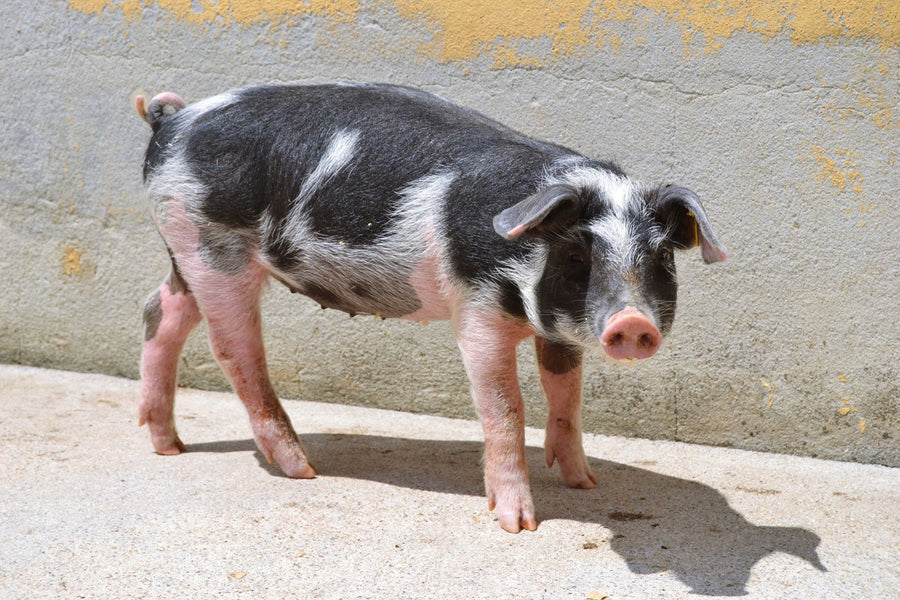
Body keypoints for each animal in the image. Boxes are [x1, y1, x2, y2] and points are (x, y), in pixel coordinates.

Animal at [135, 83, 726, 533]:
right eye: (578, 254)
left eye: (662, 258)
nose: (632, 323)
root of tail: (172, 120)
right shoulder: (477, 313)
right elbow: (505, 409)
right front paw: (519, 525)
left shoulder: (555, 327)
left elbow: (567, 390)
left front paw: (584, 481)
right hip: (212, 249)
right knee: (233, 348)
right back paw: (302, 469)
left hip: (186, 255)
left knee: (159, 312)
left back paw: (169, 447)